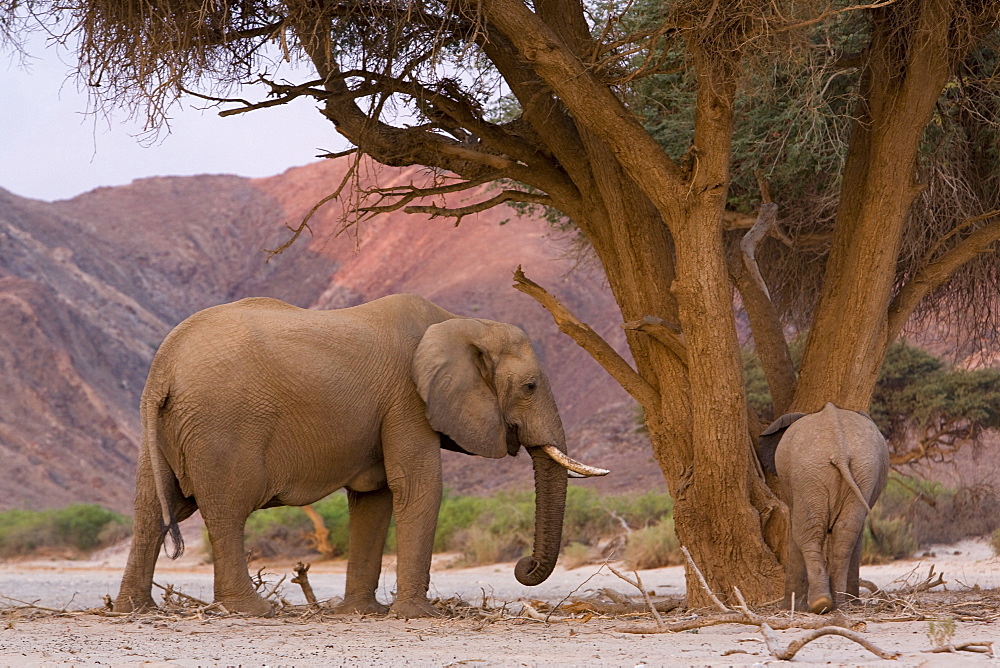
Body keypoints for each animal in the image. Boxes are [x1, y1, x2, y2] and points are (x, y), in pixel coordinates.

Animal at [112, 294, 604, 620]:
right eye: (531, 387)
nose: (523, 566)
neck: (459, 322)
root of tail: (163, 368)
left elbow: (376, 497)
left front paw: (363, 612)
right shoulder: (408, 399)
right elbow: (418, 486)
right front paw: (416, 616)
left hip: (167, 428)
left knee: (151, 508)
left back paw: (135, 608)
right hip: (222, 423)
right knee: (227, 509)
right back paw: (255, 610)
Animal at [756, 402, 892, 616]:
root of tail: (840, 450)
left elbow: (796, 533)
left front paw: (788, 607)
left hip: (808, 474)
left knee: (808, 534)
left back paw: (820, 604)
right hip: (863, 471)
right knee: (846, 534)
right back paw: (838, 604)